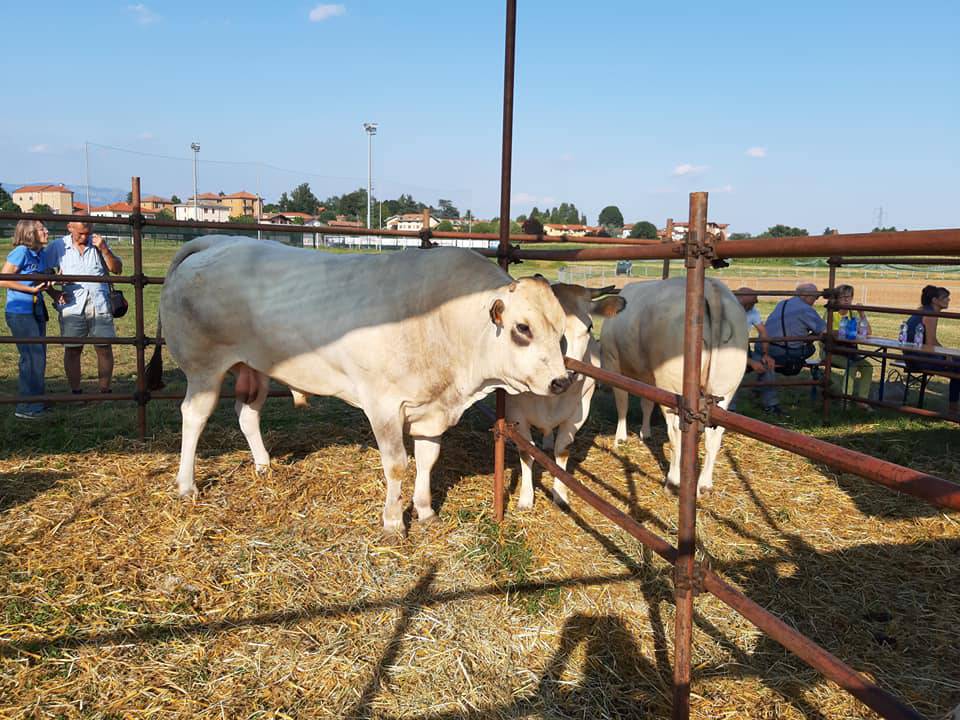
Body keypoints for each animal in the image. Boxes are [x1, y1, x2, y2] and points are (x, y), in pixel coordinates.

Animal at [149, 236, 568, 536]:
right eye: (522, 328)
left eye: (562, 330)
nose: (561, 381)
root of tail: (215, 241)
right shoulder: (383, 404)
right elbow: (397, 465)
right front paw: (393, 522)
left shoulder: (432, 410)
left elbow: (428, 459)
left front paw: (425, 510)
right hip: (204, 368)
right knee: (194, 416)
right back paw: (186, 485)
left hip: (256, 367)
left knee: (247, 413)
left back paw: (264, 465)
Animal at [506, 284, 628, 510]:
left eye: (589, 327)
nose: (568, 373)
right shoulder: (515, 414)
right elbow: (526, 452)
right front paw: (526, 498)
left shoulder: (579, 413)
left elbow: (562, 450)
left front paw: (560, 494)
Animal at [600, 278, 752, 498]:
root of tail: (712, 288)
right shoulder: (648, 377)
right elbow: (646, 404)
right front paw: (645, 432)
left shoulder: (614, 363)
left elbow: (622, 402)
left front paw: (620, 438)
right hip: (725, 389)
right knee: (715, 436)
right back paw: (704, 485)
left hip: (674, 389)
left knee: (676, 434)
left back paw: (673, 482)